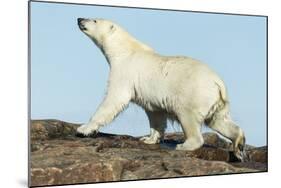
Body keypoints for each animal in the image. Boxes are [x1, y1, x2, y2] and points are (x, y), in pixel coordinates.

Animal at [76, 18, 245, 161]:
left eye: (94, 20)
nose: (79, 19)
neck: (124, 50)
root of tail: (218, 82)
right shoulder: (151, 96)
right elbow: (155, 113)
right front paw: (149, 139)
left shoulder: (125, 72)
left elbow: (114, 99)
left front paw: (83, 129)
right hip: (215, 101)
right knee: (219, 120)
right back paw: (239, 145)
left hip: (193, 94)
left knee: (188, 117)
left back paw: (184, 145)